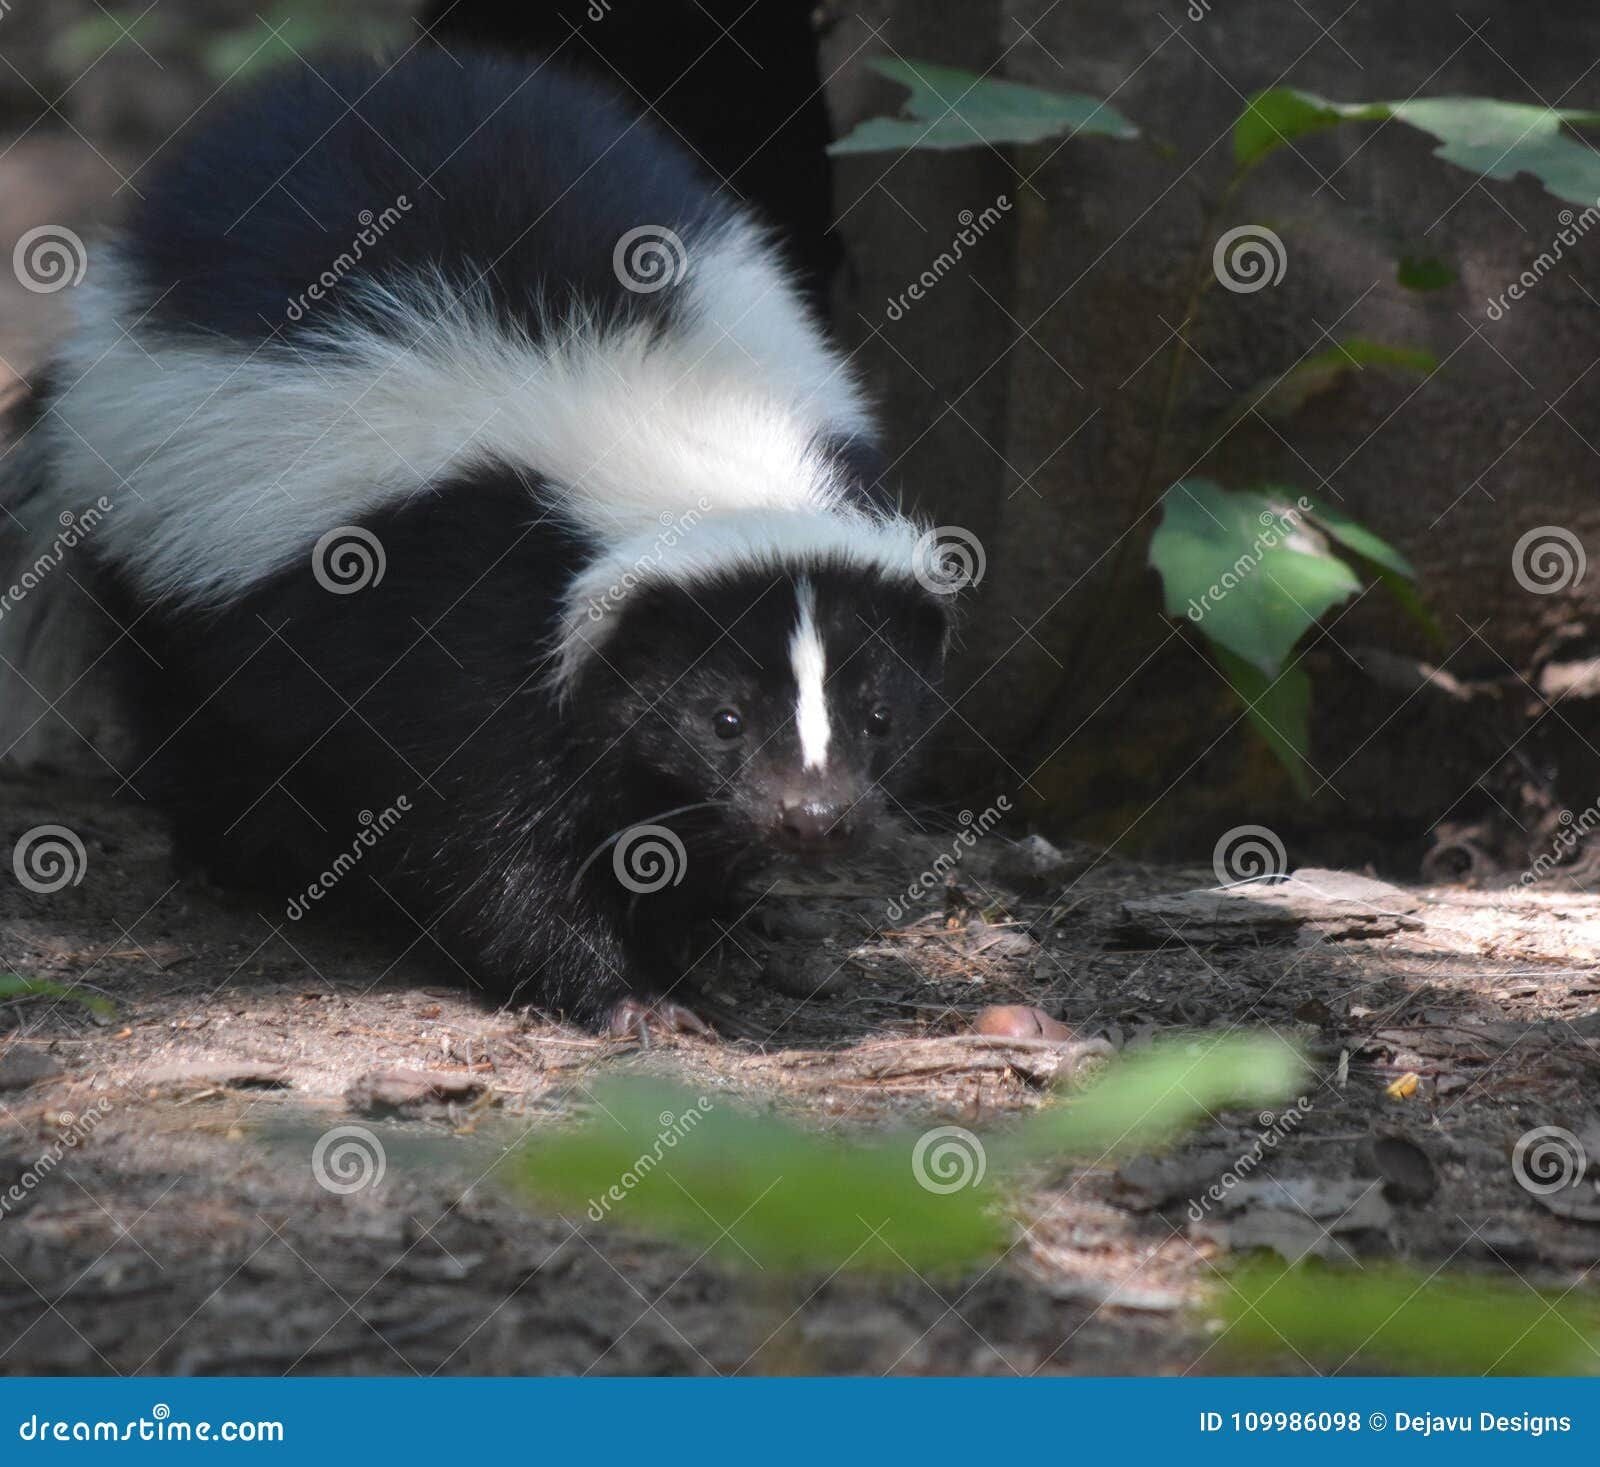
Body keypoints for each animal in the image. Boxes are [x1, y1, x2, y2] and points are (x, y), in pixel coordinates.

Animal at [0, 51, 953, 1036]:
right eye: (721, 717)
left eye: (880, 714)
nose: (816, 814)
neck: (675, 423)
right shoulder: (452, 601)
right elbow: (486, 840)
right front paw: (626, 994)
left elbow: (646, 805)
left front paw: (706, 935)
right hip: (169, 559)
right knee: (198, 723)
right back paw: (248, 864)